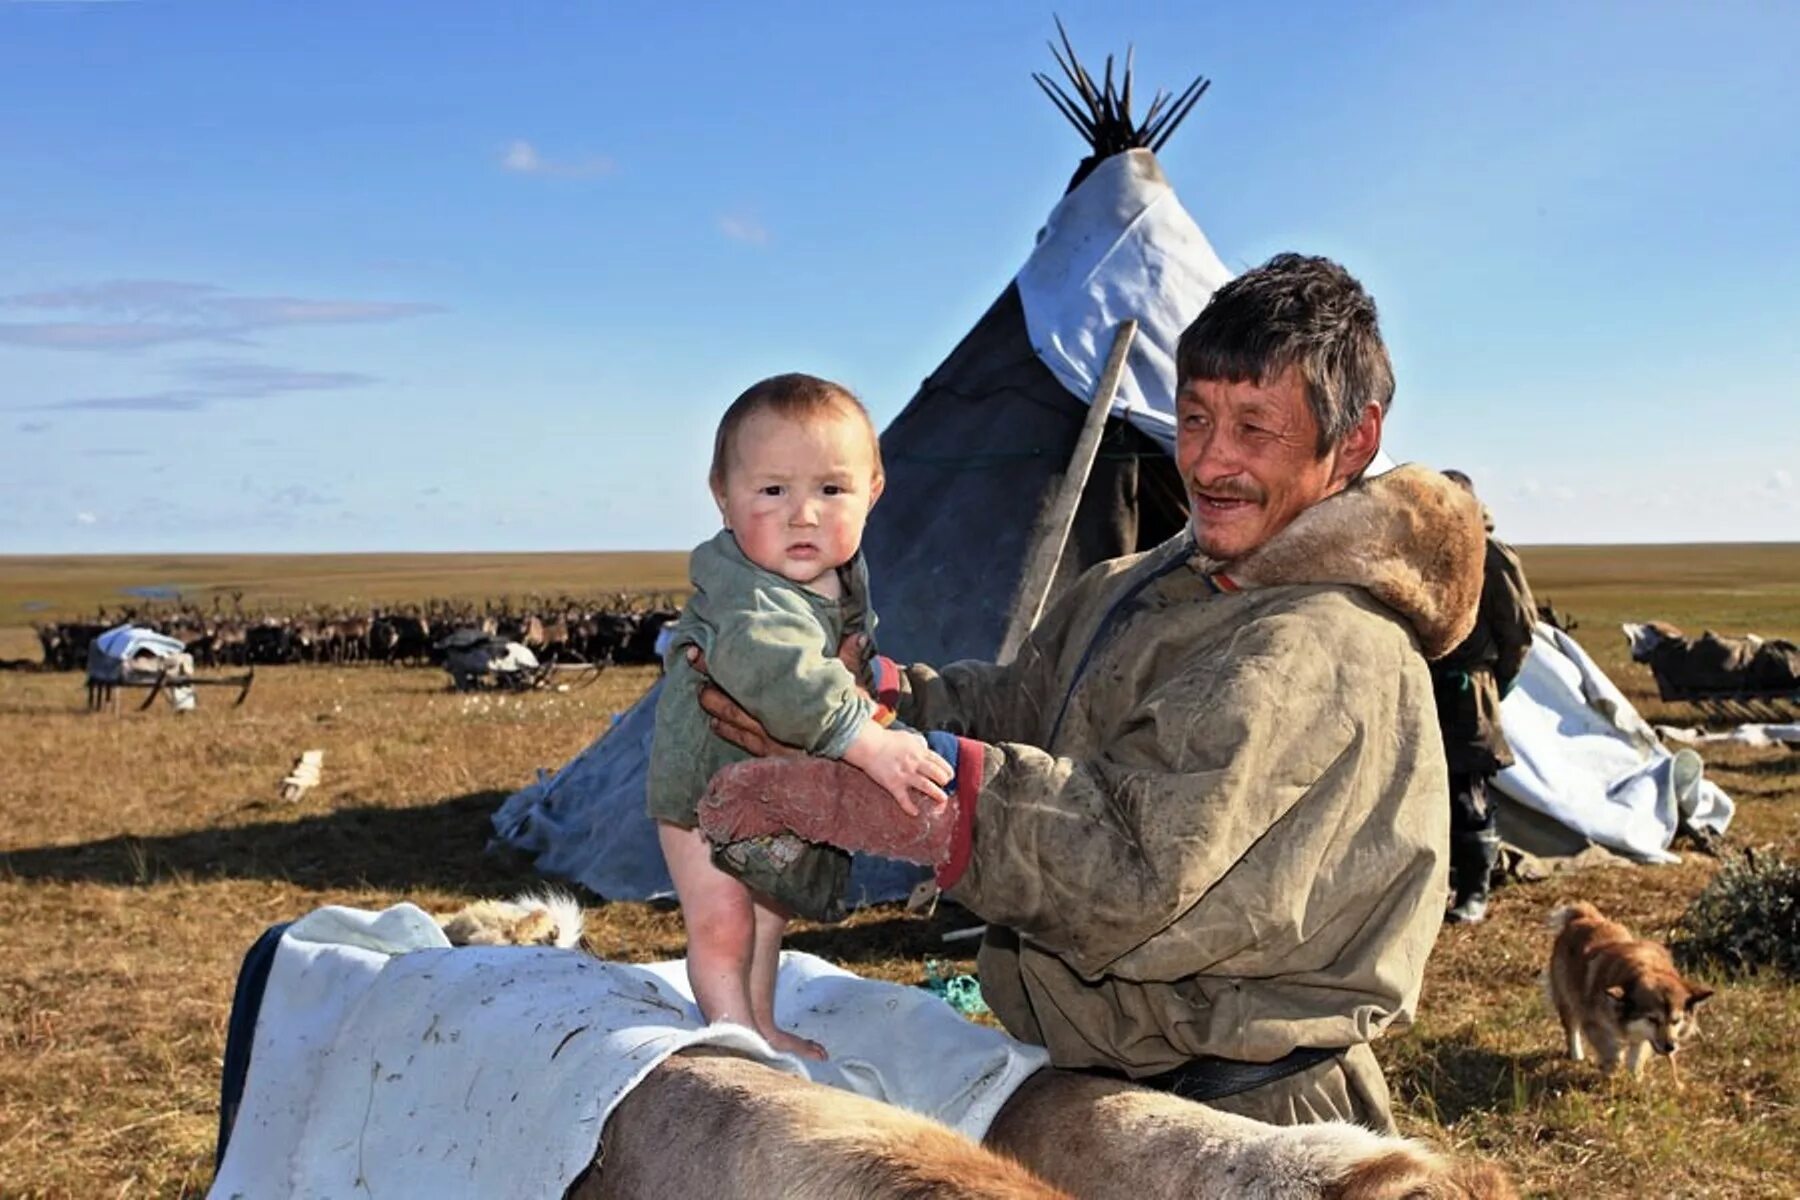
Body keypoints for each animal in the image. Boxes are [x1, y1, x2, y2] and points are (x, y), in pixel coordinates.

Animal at [1540, 899, 1706, 1086]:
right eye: (1653, 1019)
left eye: (1676, 1021)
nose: (1670, 1047)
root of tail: (1583, 916)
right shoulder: (1594, 1023)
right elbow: (1612, 1053)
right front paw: (1612, 1070)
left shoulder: (1645, 1038)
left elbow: (1637, 1056)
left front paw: (1636, 1080)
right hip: (1566, 999)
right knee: (1571, 1028)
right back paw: (1577, 1055)